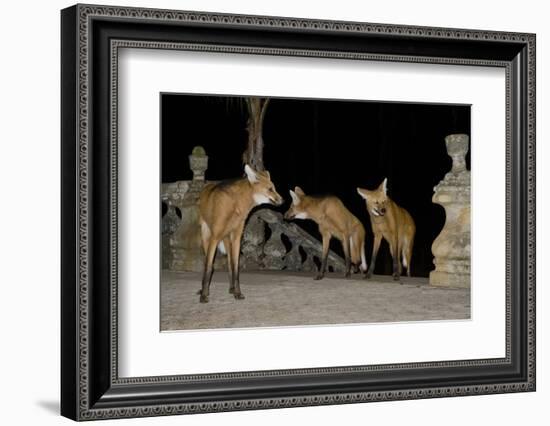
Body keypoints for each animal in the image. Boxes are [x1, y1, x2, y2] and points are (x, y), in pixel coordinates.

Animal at [198, 164, 284, 302]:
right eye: (270, 189)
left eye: (274, 188)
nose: (283, 200)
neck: (235, 205)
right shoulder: (215, 237)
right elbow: (209, 267)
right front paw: (204, 295)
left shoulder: (237, 236)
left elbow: (235, 267)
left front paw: (237, 293)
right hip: (207, 235)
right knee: (208, 263)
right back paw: (203, 289)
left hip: (227, 238)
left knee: (229, 264)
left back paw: (231, 288)